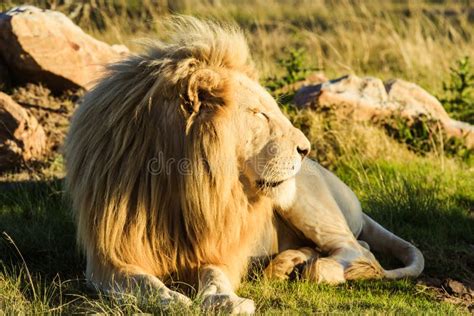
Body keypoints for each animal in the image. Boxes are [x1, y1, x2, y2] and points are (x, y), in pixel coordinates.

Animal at [65, 17, 424, 314]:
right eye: (259, 114)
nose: (305, 148)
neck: (181, 184)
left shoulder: (217, 248)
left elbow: (214, 274)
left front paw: (226, 300)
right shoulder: (107, 259)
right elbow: (142, 281)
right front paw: (172, 299)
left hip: (303, 200)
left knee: (359, 249)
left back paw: (314, 269)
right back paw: (286, 264)